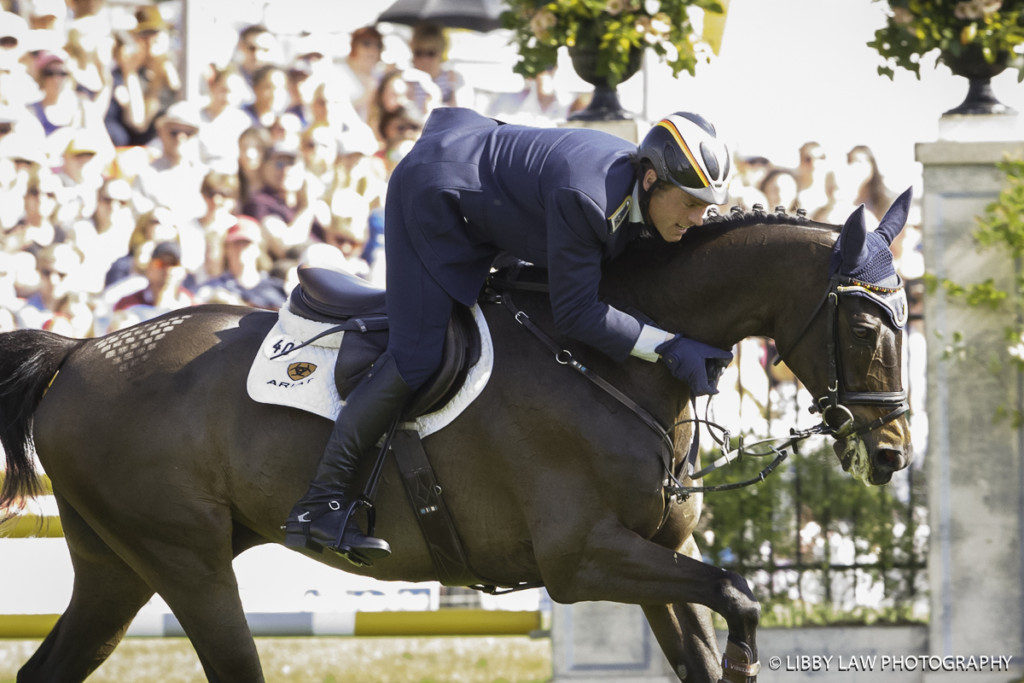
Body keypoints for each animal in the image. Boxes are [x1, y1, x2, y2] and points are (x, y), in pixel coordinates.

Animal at [0, 200, 913, 679]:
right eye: (869, 323)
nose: (893, 451)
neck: (610, 360)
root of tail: (82, 351)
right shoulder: (582, 558)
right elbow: (738, 592)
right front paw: (747, 654)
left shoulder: (653, 553)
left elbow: (709, 619)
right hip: (185, 560)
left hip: (119, 567)